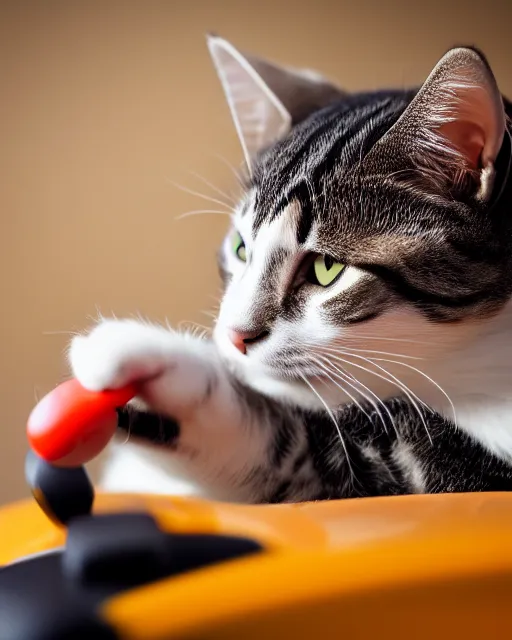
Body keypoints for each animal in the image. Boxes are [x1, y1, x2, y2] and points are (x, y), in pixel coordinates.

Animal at [67, 37, 512, 502]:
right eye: (241, 248)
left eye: (327, 267)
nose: (234, 335)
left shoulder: (459, 478)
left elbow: (298, 451)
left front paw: (148, 359)